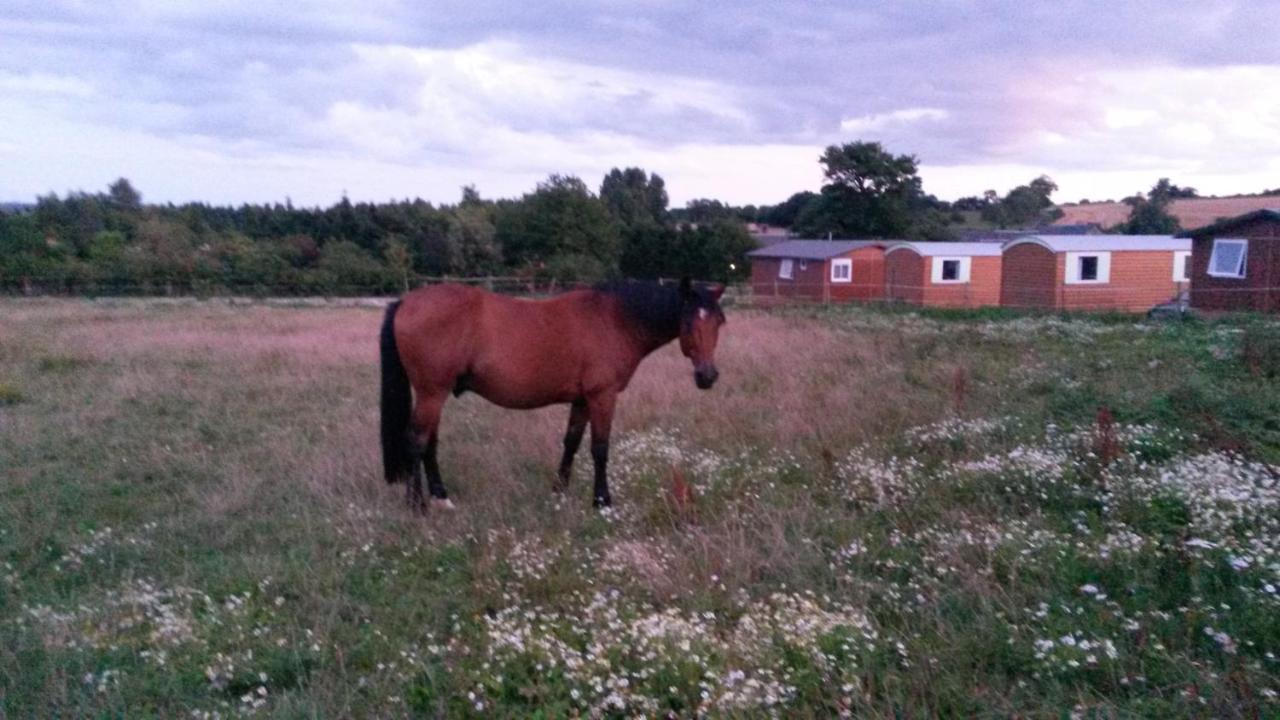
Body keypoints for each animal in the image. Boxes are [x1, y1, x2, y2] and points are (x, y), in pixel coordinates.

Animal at [376, 278, 721, 507]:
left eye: (719, 322)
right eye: (688, 322)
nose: (707, 376)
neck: (614, 319)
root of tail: (406, 301)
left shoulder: (582, 400)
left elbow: (571, 442)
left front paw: (559, 491)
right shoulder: (602, 397)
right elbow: (600, 449)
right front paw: (602, 500)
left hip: (435, 394)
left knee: (429, 443)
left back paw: (441, 496)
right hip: (431, 393)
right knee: (416, 442)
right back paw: (417, 505)